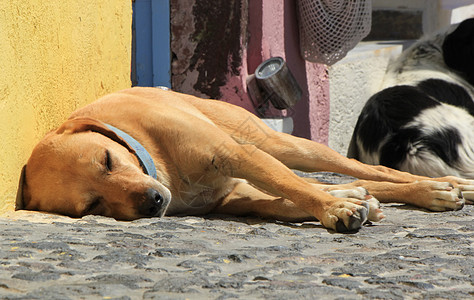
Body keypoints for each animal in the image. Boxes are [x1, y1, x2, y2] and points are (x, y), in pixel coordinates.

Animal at [16, 86, 472, 232]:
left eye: (109, 161)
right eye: (92, 205)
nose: (153, 203)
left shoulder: (235, 155)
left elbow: (292, 188)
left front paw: (335, 211)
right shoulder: (236, 197)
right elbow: (286, 201)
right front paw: (347, 205)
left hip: (280, 145)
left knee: (370, 169)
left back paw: (444, 187)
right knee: (359, 181)